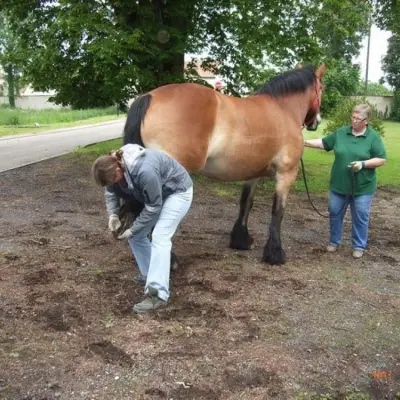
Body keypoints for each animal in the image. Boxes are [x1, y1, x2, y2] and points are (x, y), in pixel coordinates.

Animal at [121, 64, 324, 266]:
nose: (317, 122)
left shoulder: (253, 173)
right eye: (322, 88)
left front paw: (241, 240)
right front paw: (275, 253)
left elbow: (246, 203)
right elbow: (278, 211)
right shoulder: (286, 173)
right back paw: (170, 260)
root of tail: (149, 97)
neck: (283, 110)